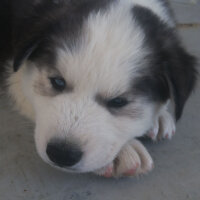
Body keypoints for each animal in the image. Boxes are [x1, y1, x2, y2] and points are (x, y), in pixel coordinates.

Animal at [0, 0, 197, 178]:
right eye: (57, 82)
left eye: (118, 101)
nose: (62, 154)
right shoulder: (13, 70)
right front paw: (124, 151)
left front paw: (159, 116)